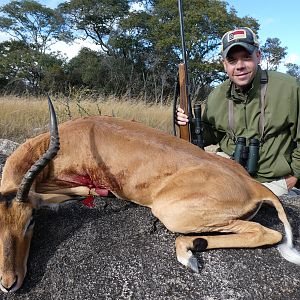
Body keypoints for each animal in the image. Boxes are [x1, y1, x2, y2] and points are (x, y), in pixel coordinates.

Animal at [0, 99, 300, 292]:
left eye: (31, 220)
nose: (9, 283)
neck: (73, 136)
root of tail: (255, 186)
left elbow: (83, 190)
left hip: (172, 215)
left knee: (267, 233)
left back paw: (188, 256)